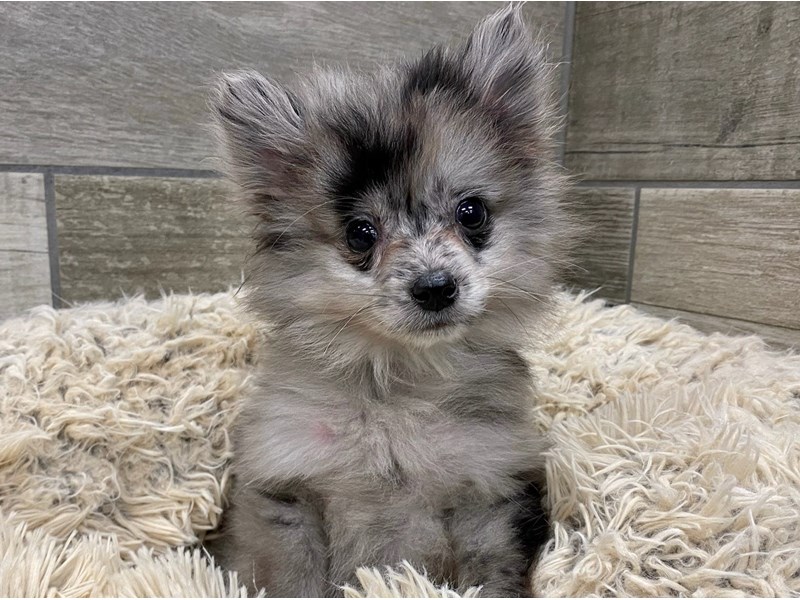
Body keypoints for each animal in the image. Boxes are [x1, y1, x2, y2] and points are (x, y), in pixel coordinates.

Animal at [206, 4, 568, 596]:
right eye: (360, 234)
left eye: (472, 213)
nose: (435, 287)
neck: (397, 387)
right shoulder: (286, 489)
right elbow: (291, 576)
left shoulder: (490, 491)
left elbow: (490, 570)